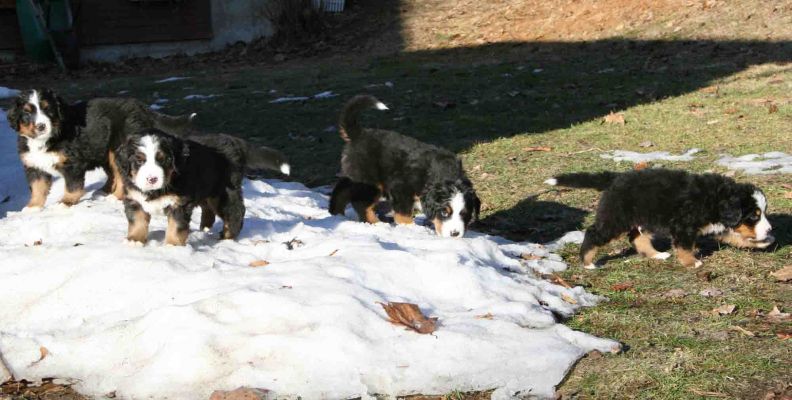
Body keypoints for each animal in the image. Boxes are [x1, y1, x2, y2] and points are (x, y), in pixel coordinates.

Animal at [6, 89, 195, 211]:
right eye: (27, 113)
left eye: (48, 110)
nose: (41, 126)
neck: (47, 139)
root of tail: (141, 106)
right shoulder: (33, 165)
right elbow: (37, 187)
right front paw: (32, 207)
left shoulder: (72, 163)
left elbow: (73, 186)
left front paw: (65, 202)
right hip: (105, 151)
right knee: (113, 174)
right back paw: (104, 190)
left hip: (118, 148)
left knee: (121, 177)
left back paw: (114, 196)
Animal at [116, 130, 290, 245]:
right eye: (139, 160)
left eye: (163, 159)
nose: (152, 179)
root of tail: (233, 141)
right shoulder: (134, 198)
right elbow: (137, 221)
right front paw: (134, 241)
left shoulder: (180, 203)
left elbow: (176, 226)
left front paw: (172, 247)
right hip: (208, 189)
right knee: (208, 209)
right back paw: (205, 228)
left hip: (223, 192)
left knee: (236, 211)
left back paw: (227, 235)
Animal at [324, 95, 480, 236]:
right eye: (444, 212)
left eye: (464, 214)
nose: (455, 234)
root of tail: (359, 134)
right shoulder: (401, 187)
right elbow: (403, 213)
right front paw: (411, 228)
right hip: (370, 181)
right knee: (361, 204)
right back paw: (376, 224)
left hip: (354, 175)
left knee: (341, 190)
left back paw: (336, 214)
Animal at [544, 169, 772, 268]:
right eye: (753, 216)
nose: (770, 230)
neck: (716, 198)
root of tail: (614, 178)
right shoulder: (683, 226)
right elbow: (684, 246)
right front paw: (692, 262)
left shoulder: (719, 225)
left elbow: (738, 237)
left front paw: (763, 242)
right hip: (616, 218)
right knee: (593, 233)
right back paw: (587, 262)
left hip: (639, 219)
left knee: (636, 238)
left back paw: (656, 255)